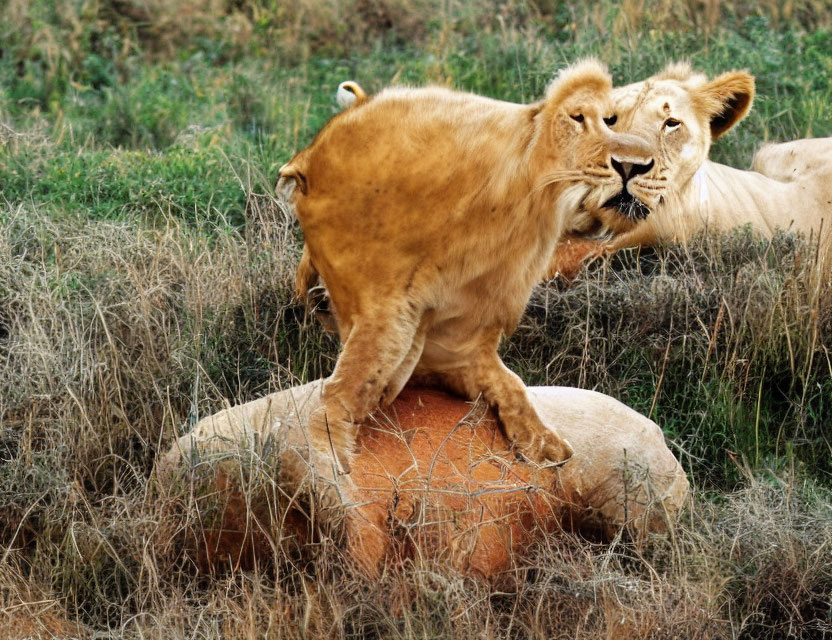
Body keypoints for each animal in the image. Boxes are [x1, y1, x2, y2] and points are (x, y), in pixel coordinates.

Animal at [280, 61, 656, 490]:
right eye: (577, 119)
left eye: (611, 120)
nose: (635, 165)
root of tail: (306, 158)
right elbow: (340, 399)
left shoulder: (460, 348)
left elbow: (513, 387)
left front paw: (545, 448)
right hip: (383, 324)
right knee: (332, 403)